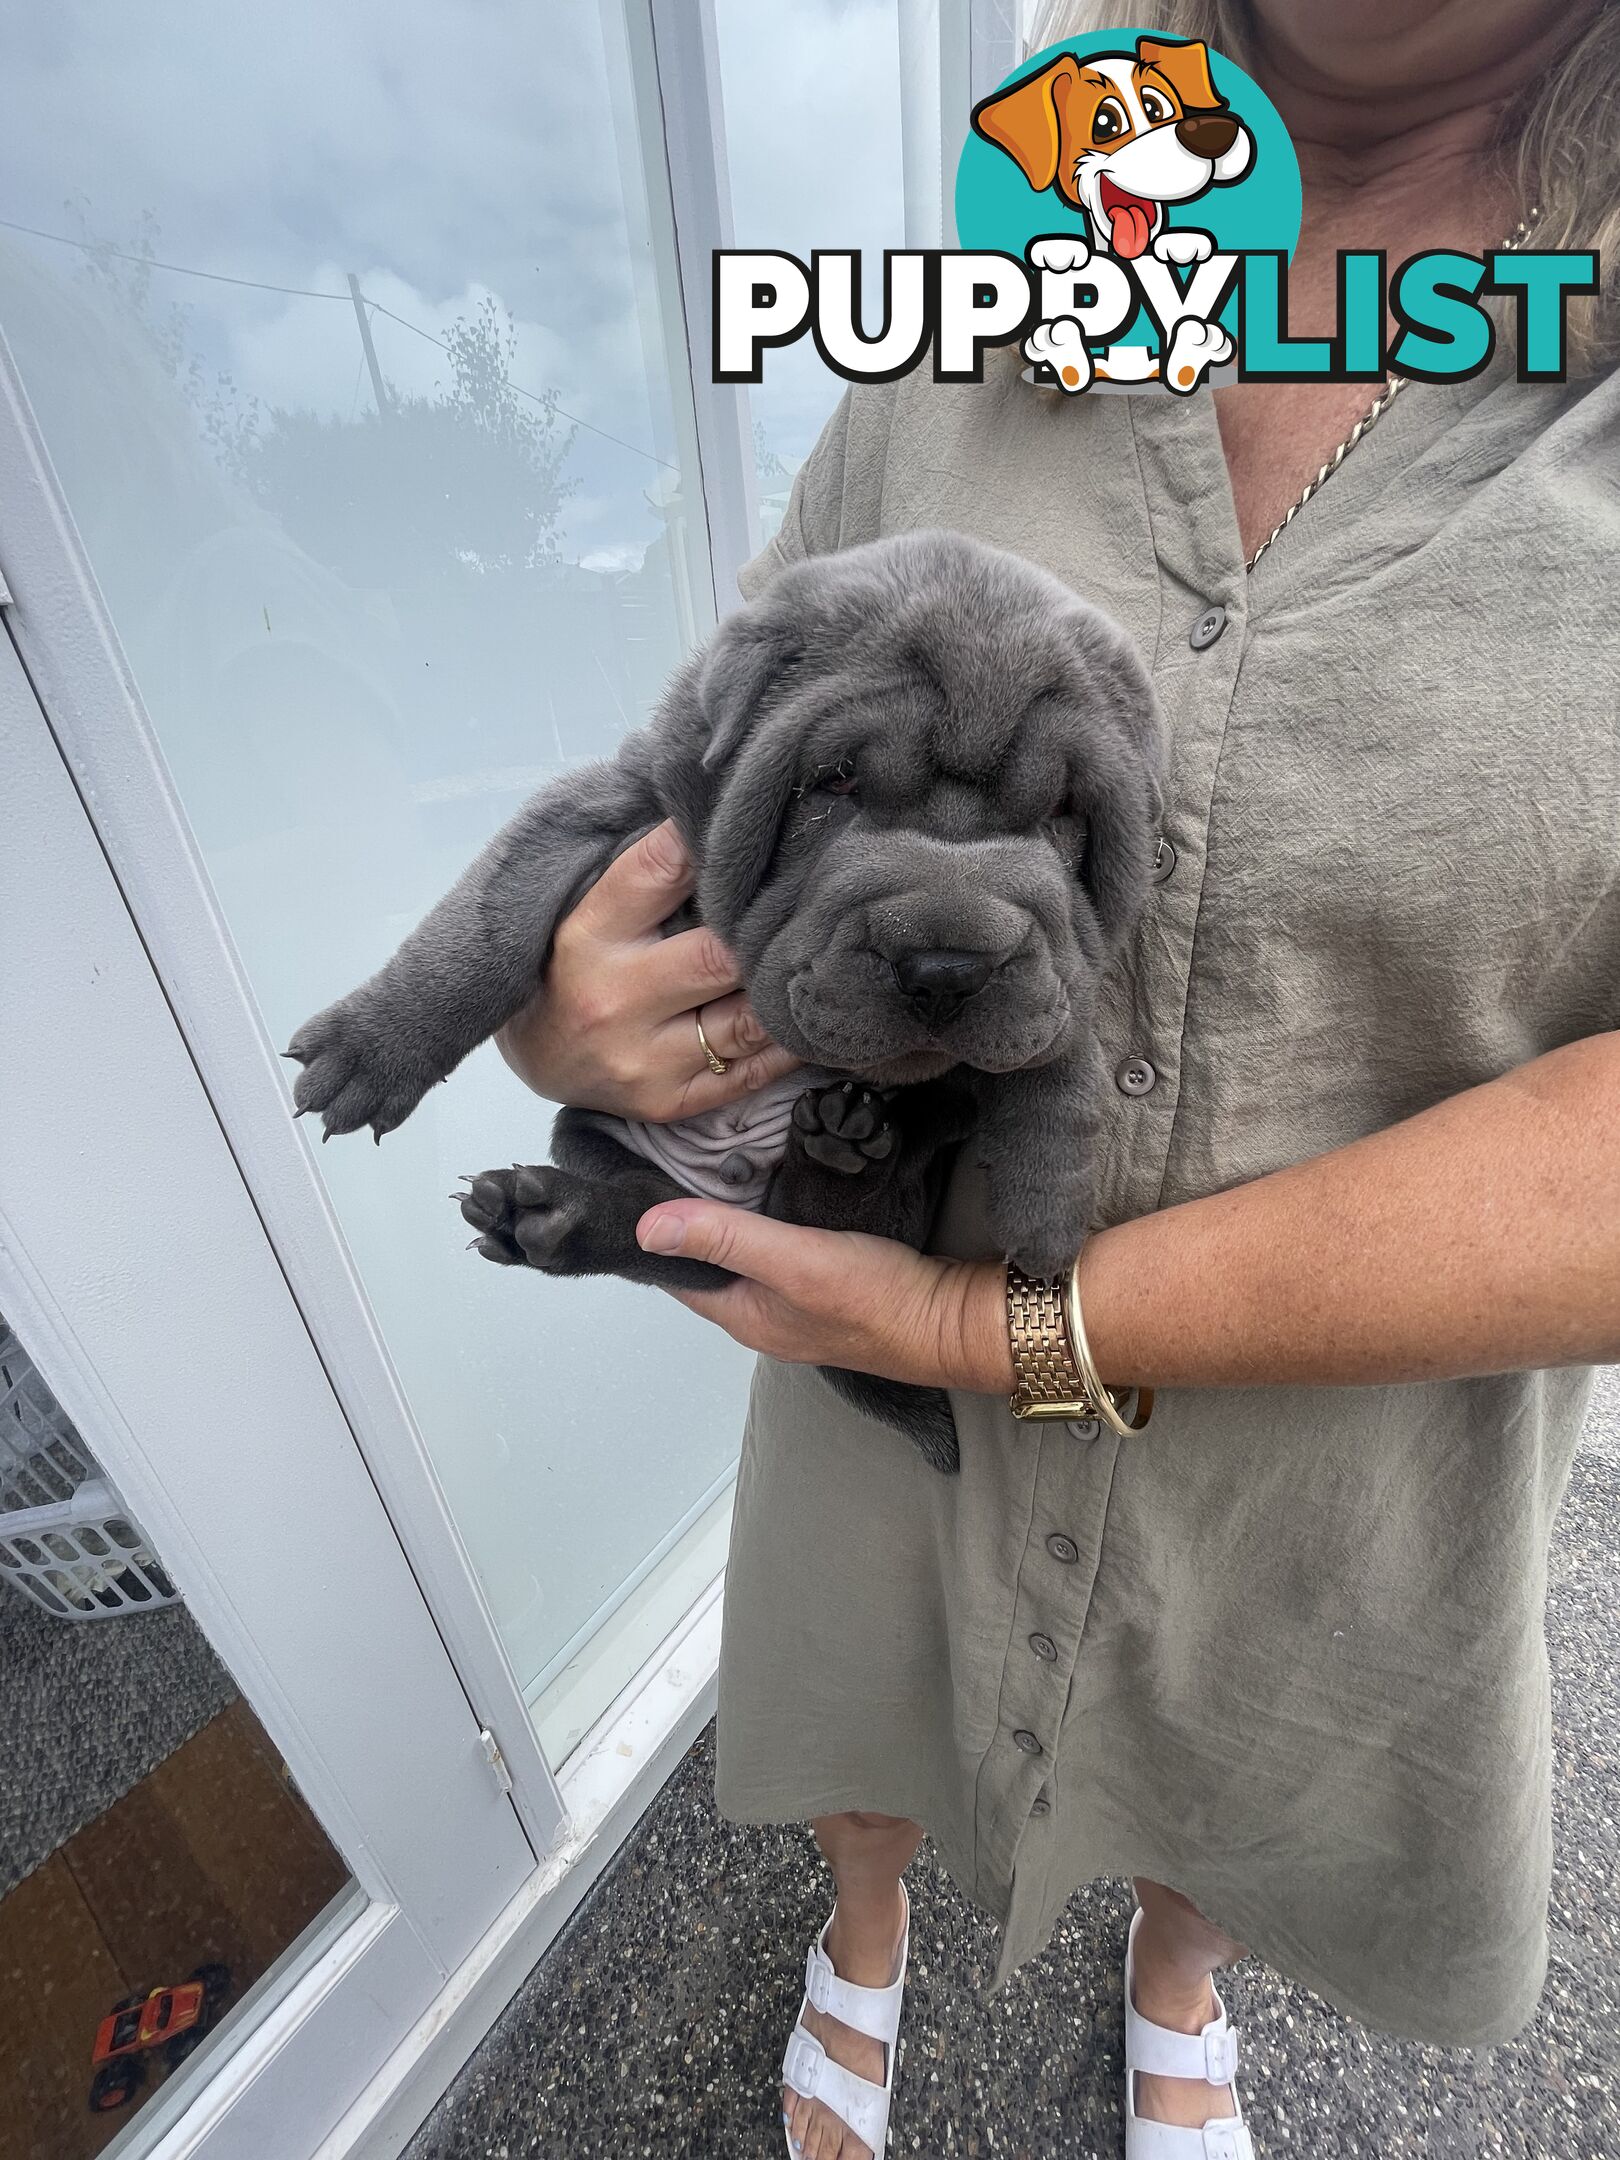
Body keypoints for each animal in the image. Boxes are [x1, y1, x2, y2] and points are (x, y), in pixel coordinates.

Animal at [285, 527, 1157, 1468]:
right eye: (836, 781)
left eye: (1065, 808)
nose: (946, 966)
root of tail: (739, 1188)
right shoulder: (609, 804)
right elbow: (487, 923)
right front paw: (371, 1046)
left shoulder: (1062, 957)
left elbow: (1063, 1051)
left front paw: (1048, 1207)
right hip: (593, 1137)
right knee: (667, 1236)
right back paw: (551, 1214)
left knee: (816, 1222)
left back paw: (837, 1147)